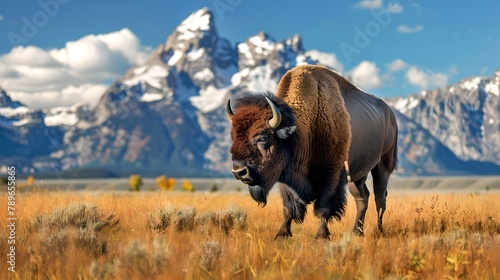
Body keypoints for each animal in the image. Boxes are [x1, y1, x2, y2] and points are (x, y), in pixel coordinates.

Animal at [228, 65, 398, 238]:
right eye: (233, 136)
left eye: (262, 137)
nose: (239, 171)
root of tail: (390, 114)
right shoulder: (287, 178)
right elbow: (289, 207)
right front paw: (282, 234)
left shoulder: (331, 175)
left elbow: (324, 207)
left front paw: (321, 236)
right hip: (357, 175)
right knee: (362, 197)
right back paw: (357, 231)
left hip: (383, 165)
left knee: (380, 197)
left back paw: (379, 230)